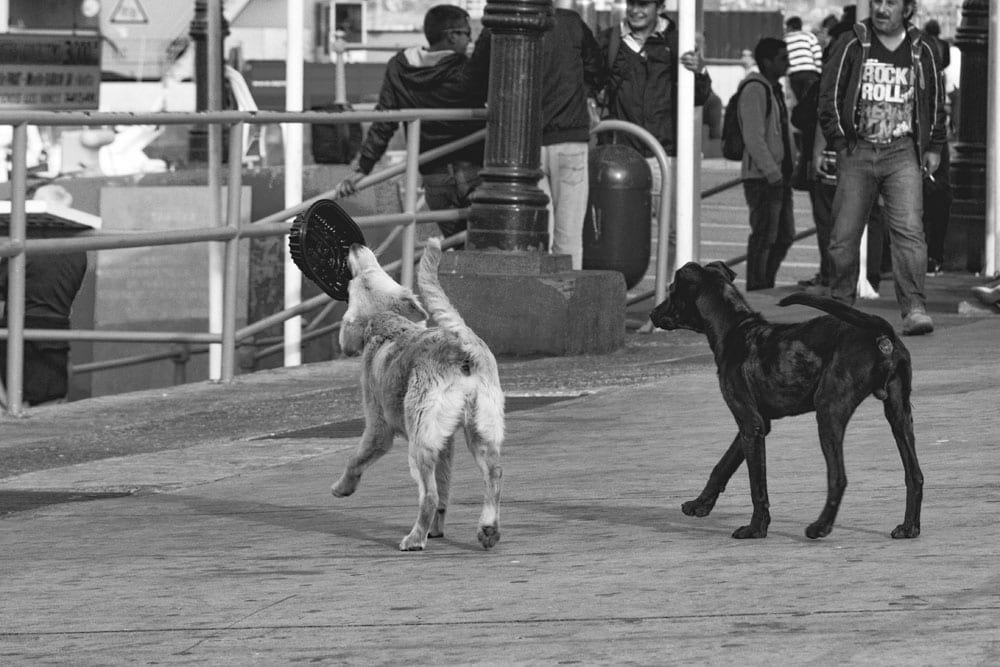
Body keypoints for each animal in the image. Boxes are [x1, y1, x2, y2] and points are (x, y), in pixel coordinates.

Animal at [332, 237, 504, 552]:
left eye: (355, 282)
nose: (355, 244)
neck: (387, 324)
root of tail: (462, 347)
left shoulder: (378, 429)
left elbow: (355, 459)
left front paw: (343, 487)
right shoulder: (445, 443)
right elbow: (446, 486)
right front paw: (438, 529)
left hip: (419, 440)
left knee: (429, 495)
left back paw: (414, 538)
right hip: (481, 431)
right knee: (492, 475)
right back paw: (487, 529)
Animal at [648, 264, 920, 540]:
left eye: (671, 290)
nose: (652, 313)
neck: (734, 329)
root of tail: (880, 331)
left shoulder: (751, 425)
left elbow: (756, 484)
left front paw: (756, 528)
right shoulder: (756, 425)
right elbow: (723, 465)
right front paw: (700, 504)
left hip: (829, 410)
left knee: (838, 477)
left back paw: (820, 527)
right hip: (899, 414)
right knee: (914, 475)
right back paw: (909, 527)